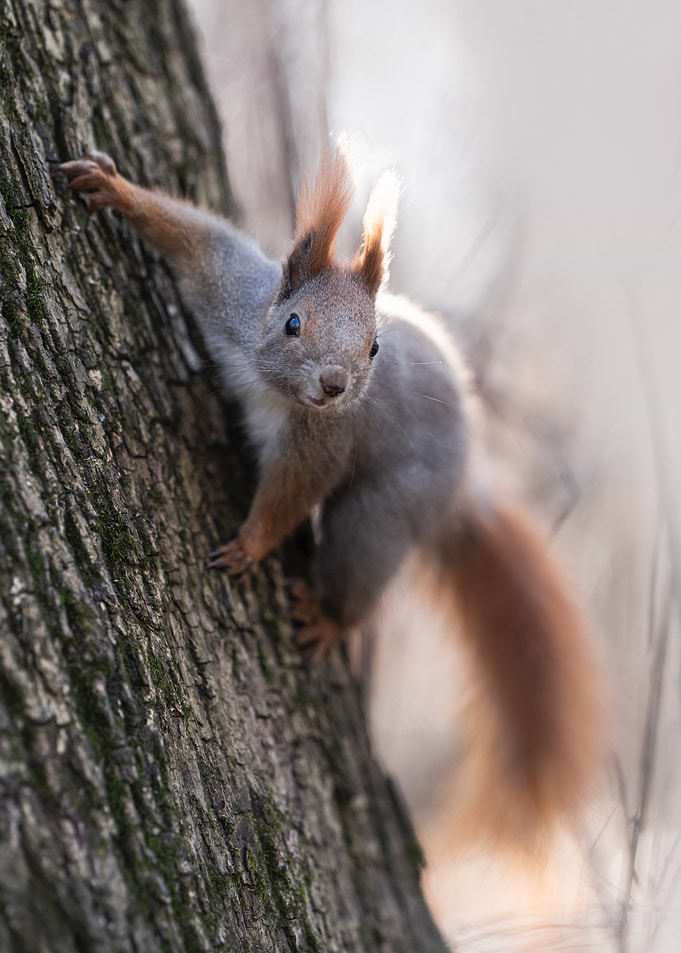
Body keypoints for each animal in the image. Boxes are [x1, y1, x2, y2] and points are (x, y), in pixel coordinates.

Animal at [54, 146, 599, 851]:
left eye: (373, 347)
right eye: (293, 323)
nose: (337, 384)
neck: (278, 391)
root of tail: (460, 489)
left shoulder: (325, 444)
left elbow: (292, 495)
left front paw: (252, 545)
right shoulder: (233, 291)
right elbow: (195, 237)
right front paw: (112, 188)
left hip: (379, 516)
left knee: (359, 561)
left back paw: (331, 618)